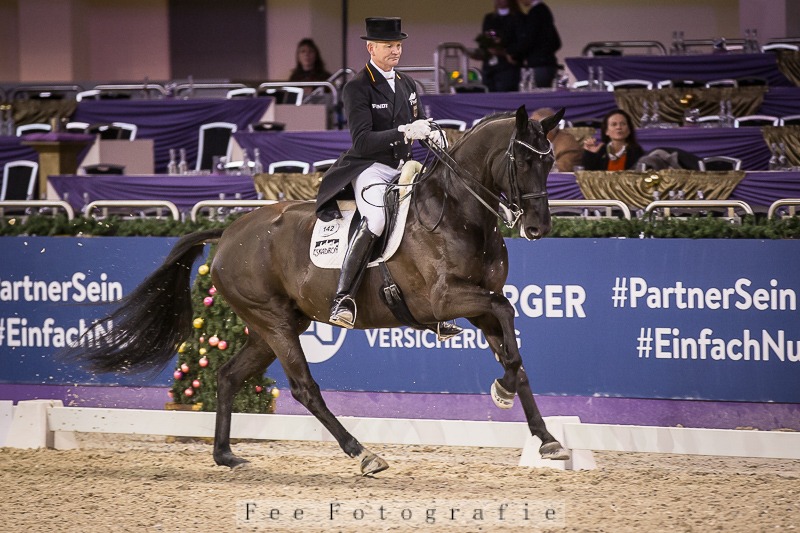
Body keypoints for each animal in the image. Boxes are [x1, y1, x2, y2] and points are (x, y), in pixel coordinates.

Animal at [66, 105, 570, 475]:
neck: (459, 212)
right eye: (524, 160)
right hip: (273, 322)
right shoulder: (445, 300)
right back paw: (363, 453)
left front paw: (545, 438)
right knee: (305, 388)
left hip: (271, 326)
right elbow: (507, 315)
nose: (538, 227)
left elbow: (514, 353)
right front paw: (503, 391)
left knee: (228, 375)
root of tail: (228, 231)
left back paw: (226, 455)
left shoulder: (477, 305)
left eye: (549, 161)